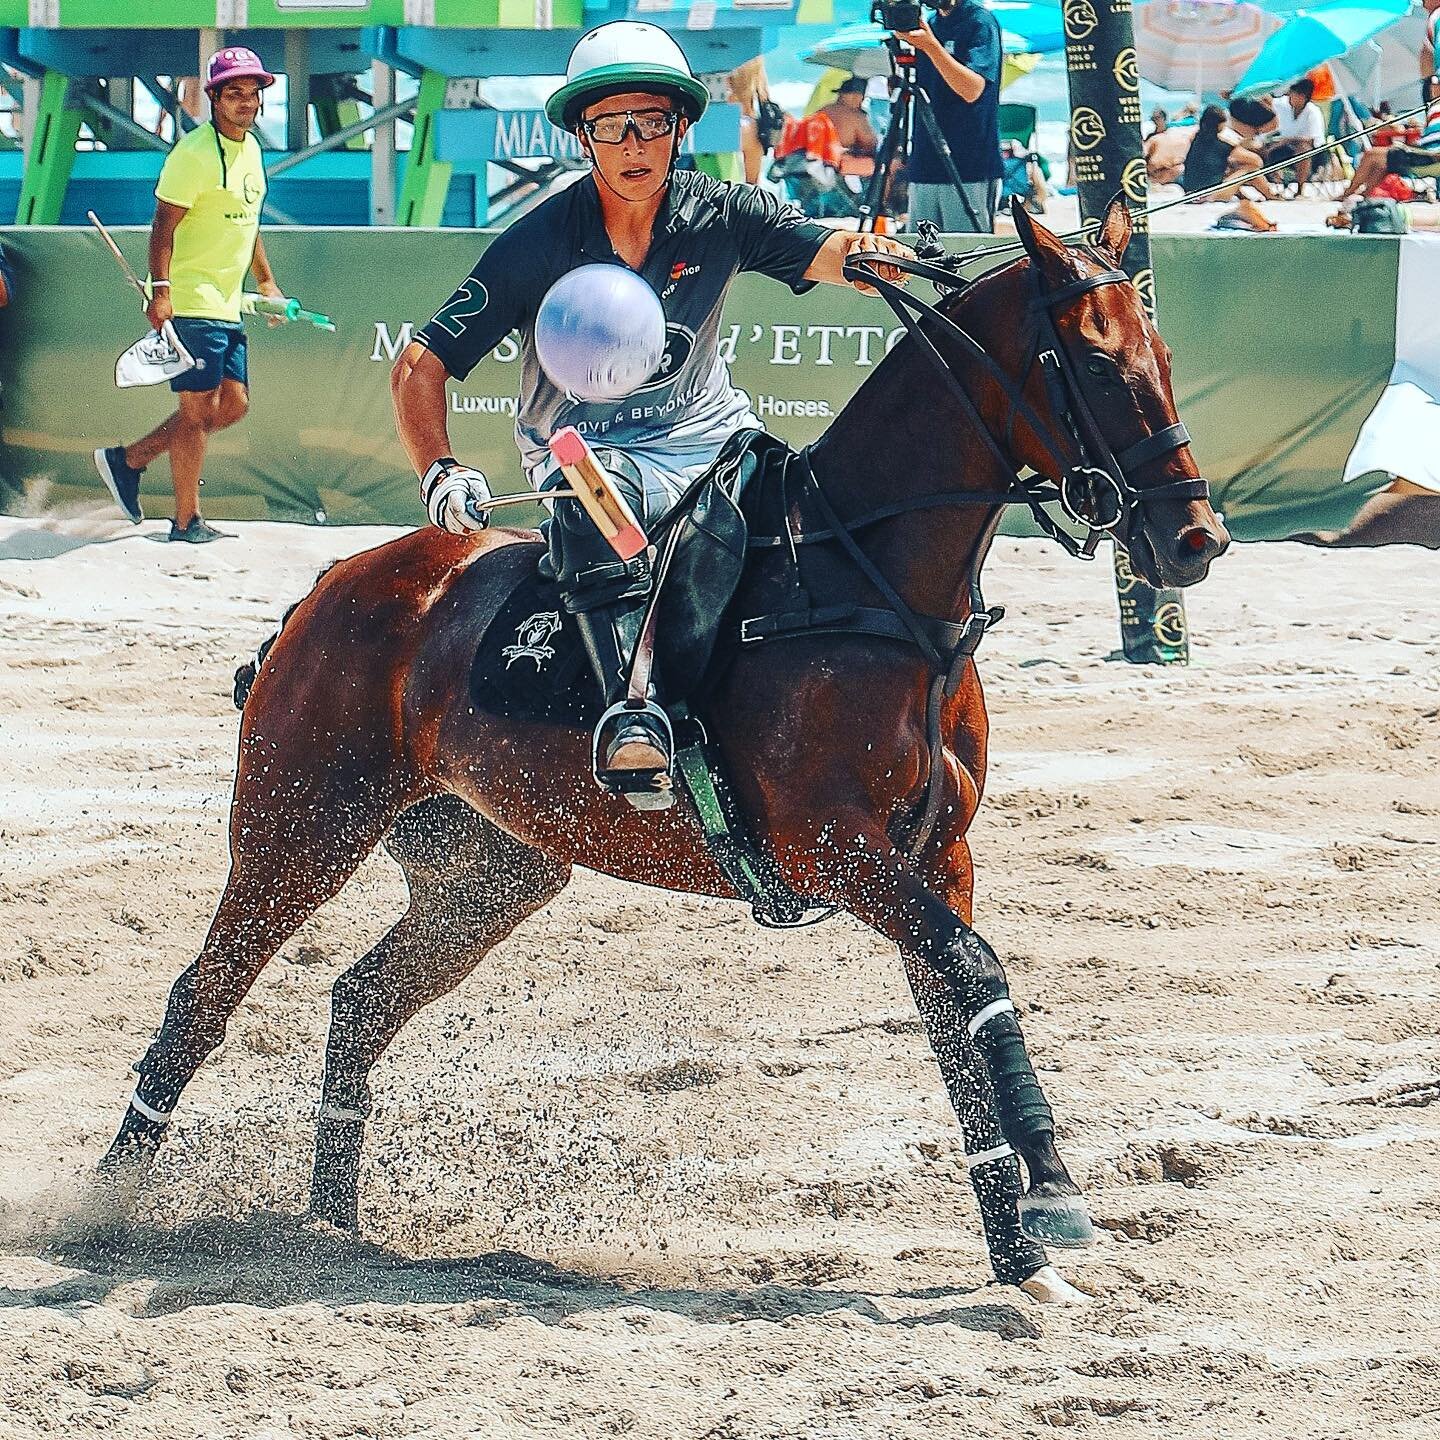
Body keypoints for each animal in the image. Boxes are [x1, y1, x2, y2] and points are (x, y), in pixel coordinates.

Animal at [101, 205, 1226, 1307]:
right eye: (1093, 361)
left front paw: (1022, 1248)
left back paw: (332, 1222)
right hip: (298, 829)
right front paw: (1054, 1193)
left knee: (359, 1000)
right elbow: (978, 974)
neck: (870, 581)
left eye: (1164, 355)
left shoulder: (936, 858)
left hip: (491, 874)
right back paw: (108, 1204)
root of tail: (326, 587)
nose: (1196, 539)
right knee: (201, 996)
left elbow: (959, 1015)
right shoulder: (836, 850)